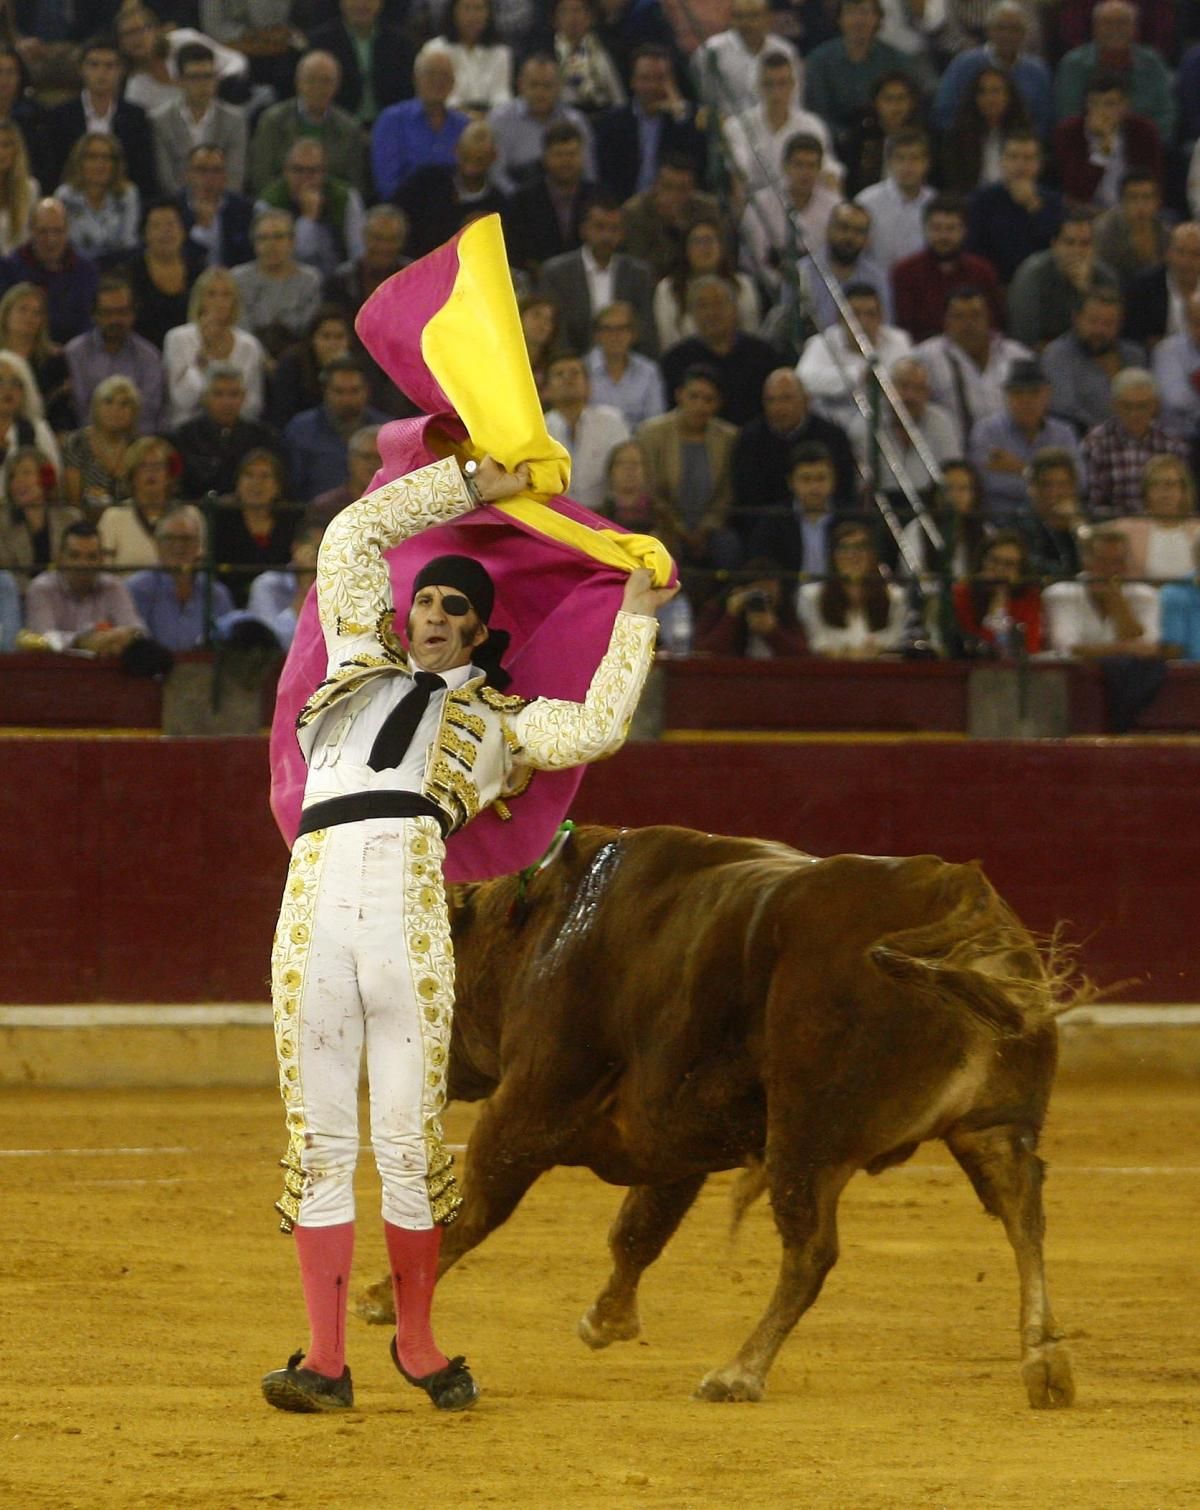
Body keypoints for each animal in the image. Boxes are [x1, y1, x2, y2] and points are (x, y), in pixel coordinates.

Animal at [356, 821, 1080, 1407]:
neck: (539, 931)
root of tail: (955, 893)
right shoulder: (673, 1138)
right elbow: (639, 1229)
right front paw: (607, 1318)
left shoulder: (527, 1108)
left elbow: (471, 1212)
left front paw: (382, 1300)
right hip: (992, 1127)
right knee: (1025, 1218)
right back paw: (1044, 1363)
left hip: (805, 1137)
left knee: (811, 1252)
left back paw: (738, 1373)